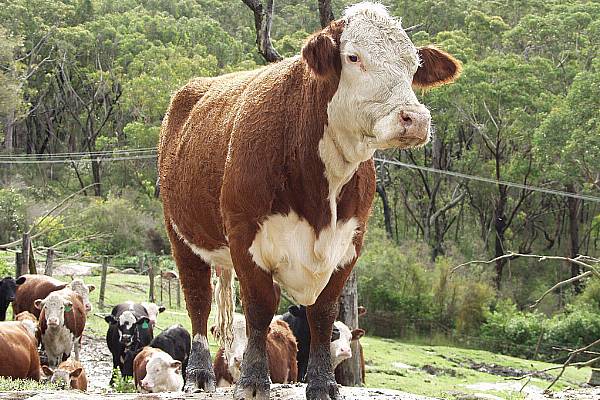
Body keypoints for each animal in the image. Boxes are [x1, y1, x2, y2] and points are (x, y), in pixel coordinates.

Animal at [158, 3, 460, 400]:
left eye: (413, 65)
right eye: (353, 57)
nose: (415, 118)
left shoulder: (349, 245)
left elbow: (324, 313)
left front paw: (322, 383)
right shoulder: (244, 236)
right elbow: (259, 308)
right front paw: (253, 381)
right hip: (181, 234)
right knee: (198, 301)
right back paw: (198, 373)